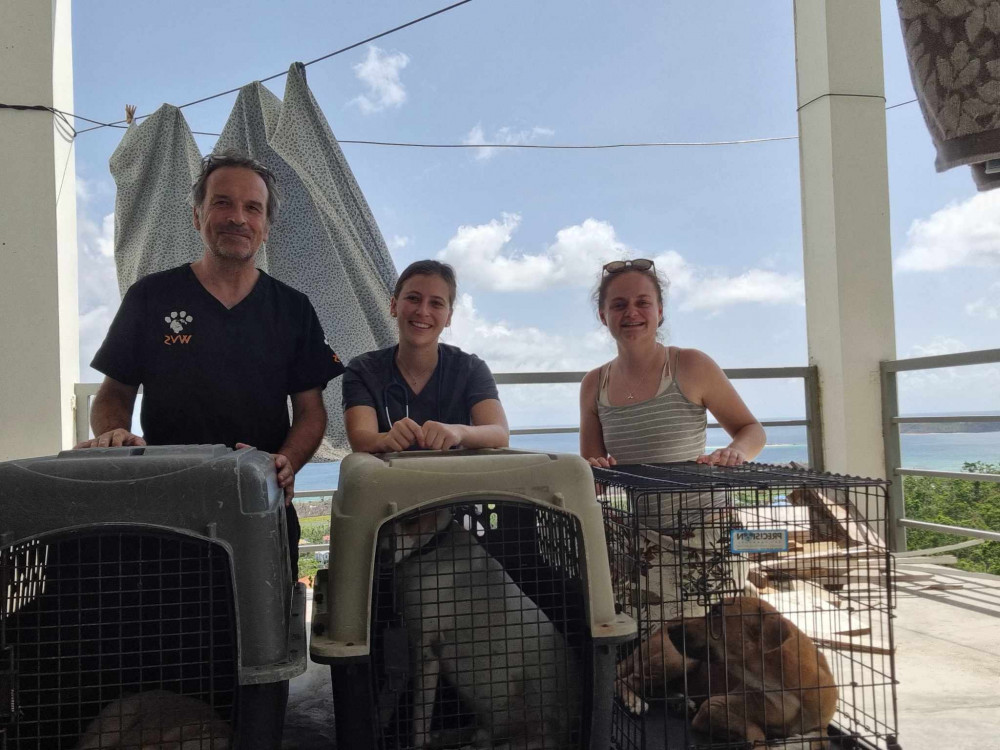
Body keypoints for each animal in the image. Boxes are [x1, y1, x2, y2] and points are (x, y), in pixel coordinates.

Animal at [388, 512, 580, 750]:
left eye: (412, 520)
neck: (433, 548)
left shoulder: (427, 647)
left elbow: (420, 714)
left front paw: (418, 743)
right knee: (477, 733)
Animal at [616, 600, 836, 748]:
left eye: (715, 612)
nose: (671, 629)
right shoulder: (713, 707)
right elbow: (755, 731)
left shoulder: (820, 726)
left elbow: (822, 739)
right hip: (680, 660)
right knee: (625, 680)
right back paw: (634, 700)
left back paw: (680, 701)